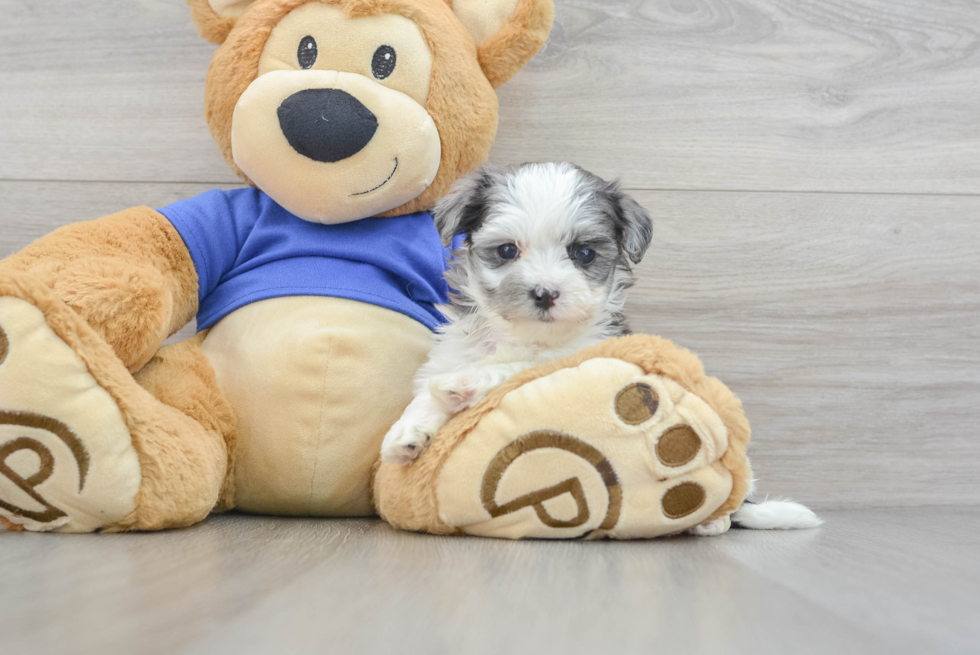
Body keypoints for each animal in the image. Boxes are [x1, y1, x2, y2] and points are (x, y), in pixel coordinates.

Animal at [380, 161, 652, 464]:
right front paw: (407, 430)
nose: (545, 293)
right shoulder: (456, 348)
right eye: (507, 250)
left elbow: (518, 367)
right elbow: (427, 390)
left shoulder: (581, 354)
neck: (526, 334)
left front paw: (465, 381)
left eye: (584, 253)